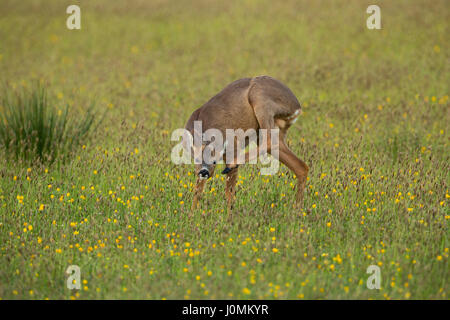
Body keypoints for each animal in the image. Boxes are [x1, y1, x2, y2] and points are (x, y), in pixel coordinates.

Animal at [185, 75, 308, 212]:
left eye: (212, 153)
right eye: (195, 157)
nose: (204, 171)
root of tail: (297, 107)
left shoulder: (232, 147)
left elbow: (229, 193)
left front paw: (229, 216)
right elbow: (197, 191)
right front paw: (192, 215)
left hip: (260, 99)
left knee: (269, 140)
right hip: (274, 131)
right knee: (301, 167)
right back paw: (297, 209)